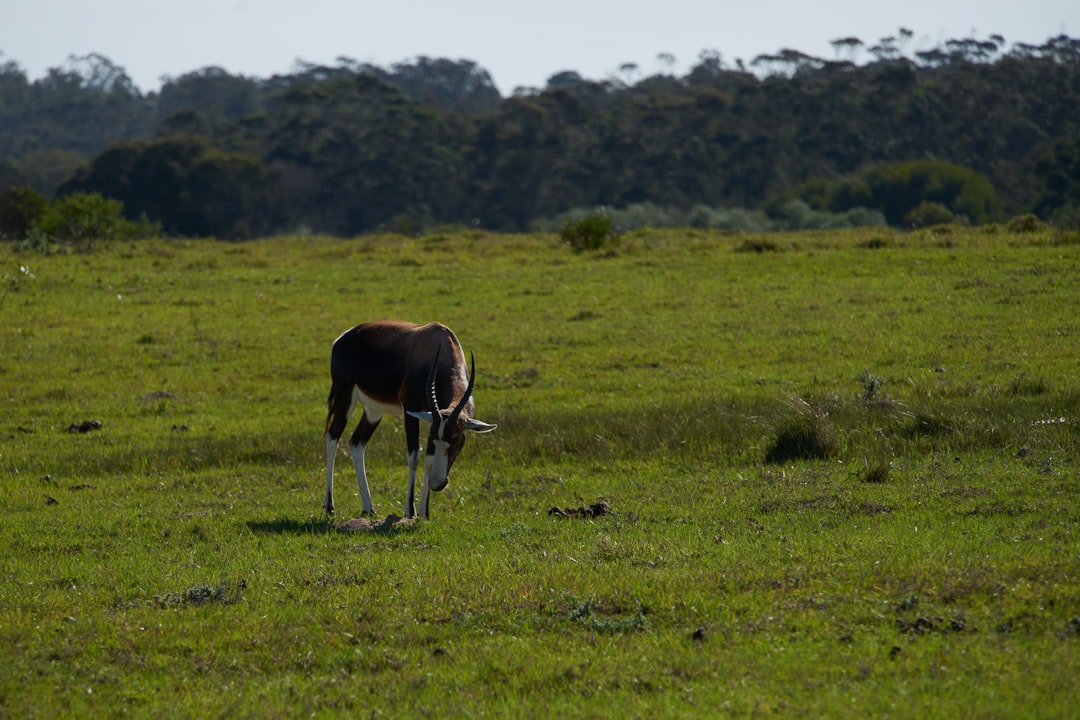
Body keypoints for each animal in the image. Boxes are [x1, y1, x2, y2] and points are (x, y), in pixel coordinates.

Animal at [321, 321, 494, 518]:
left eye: (456, 438)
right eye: (433, 437)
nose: (438, 484)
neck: (440, 344)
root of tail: (344, 337)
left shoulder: (432, 420)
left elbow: (428, 461)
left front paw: (424, 513)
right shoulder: (411, 409)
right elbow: (414, 457)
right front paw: (410, 512)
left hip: (373, 411)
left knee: (357, 443)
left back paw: (368, 508)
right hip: (344, 399)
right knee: (332, 438)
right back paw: (329, 506)